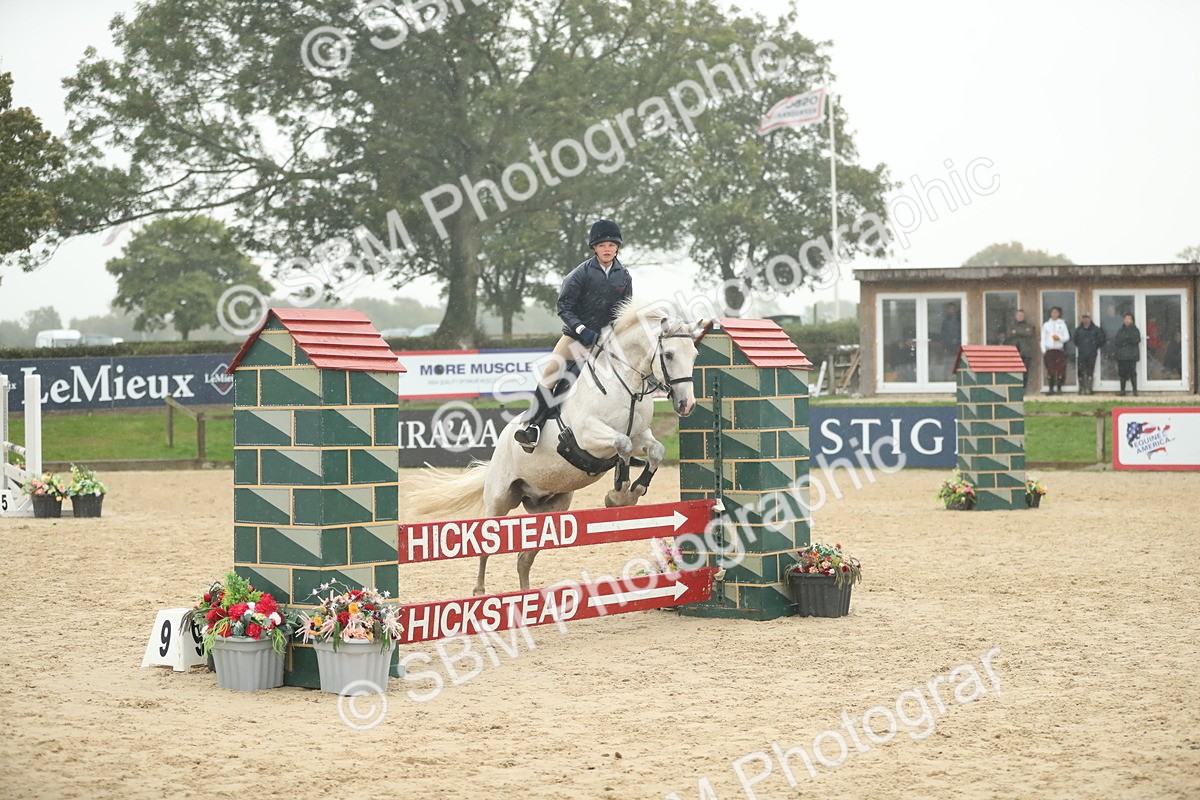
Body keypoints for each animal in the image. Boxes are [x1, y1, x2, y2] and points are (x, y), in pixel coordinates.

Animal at [404, 300, 701, 595]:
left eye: (695, 354)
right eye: (669, 354)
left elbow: (655, 451)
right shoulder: (588, 436)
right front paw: (619, 493)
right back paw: (479, 591)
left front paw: (632, 492)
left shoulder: (640, 435)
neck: (625, 385)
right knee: (485, 542)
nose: (686, 405)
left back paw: (527, 598)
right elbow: (622, 444)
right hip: (500, 499)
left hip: (551, 510)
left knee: (524, 558)